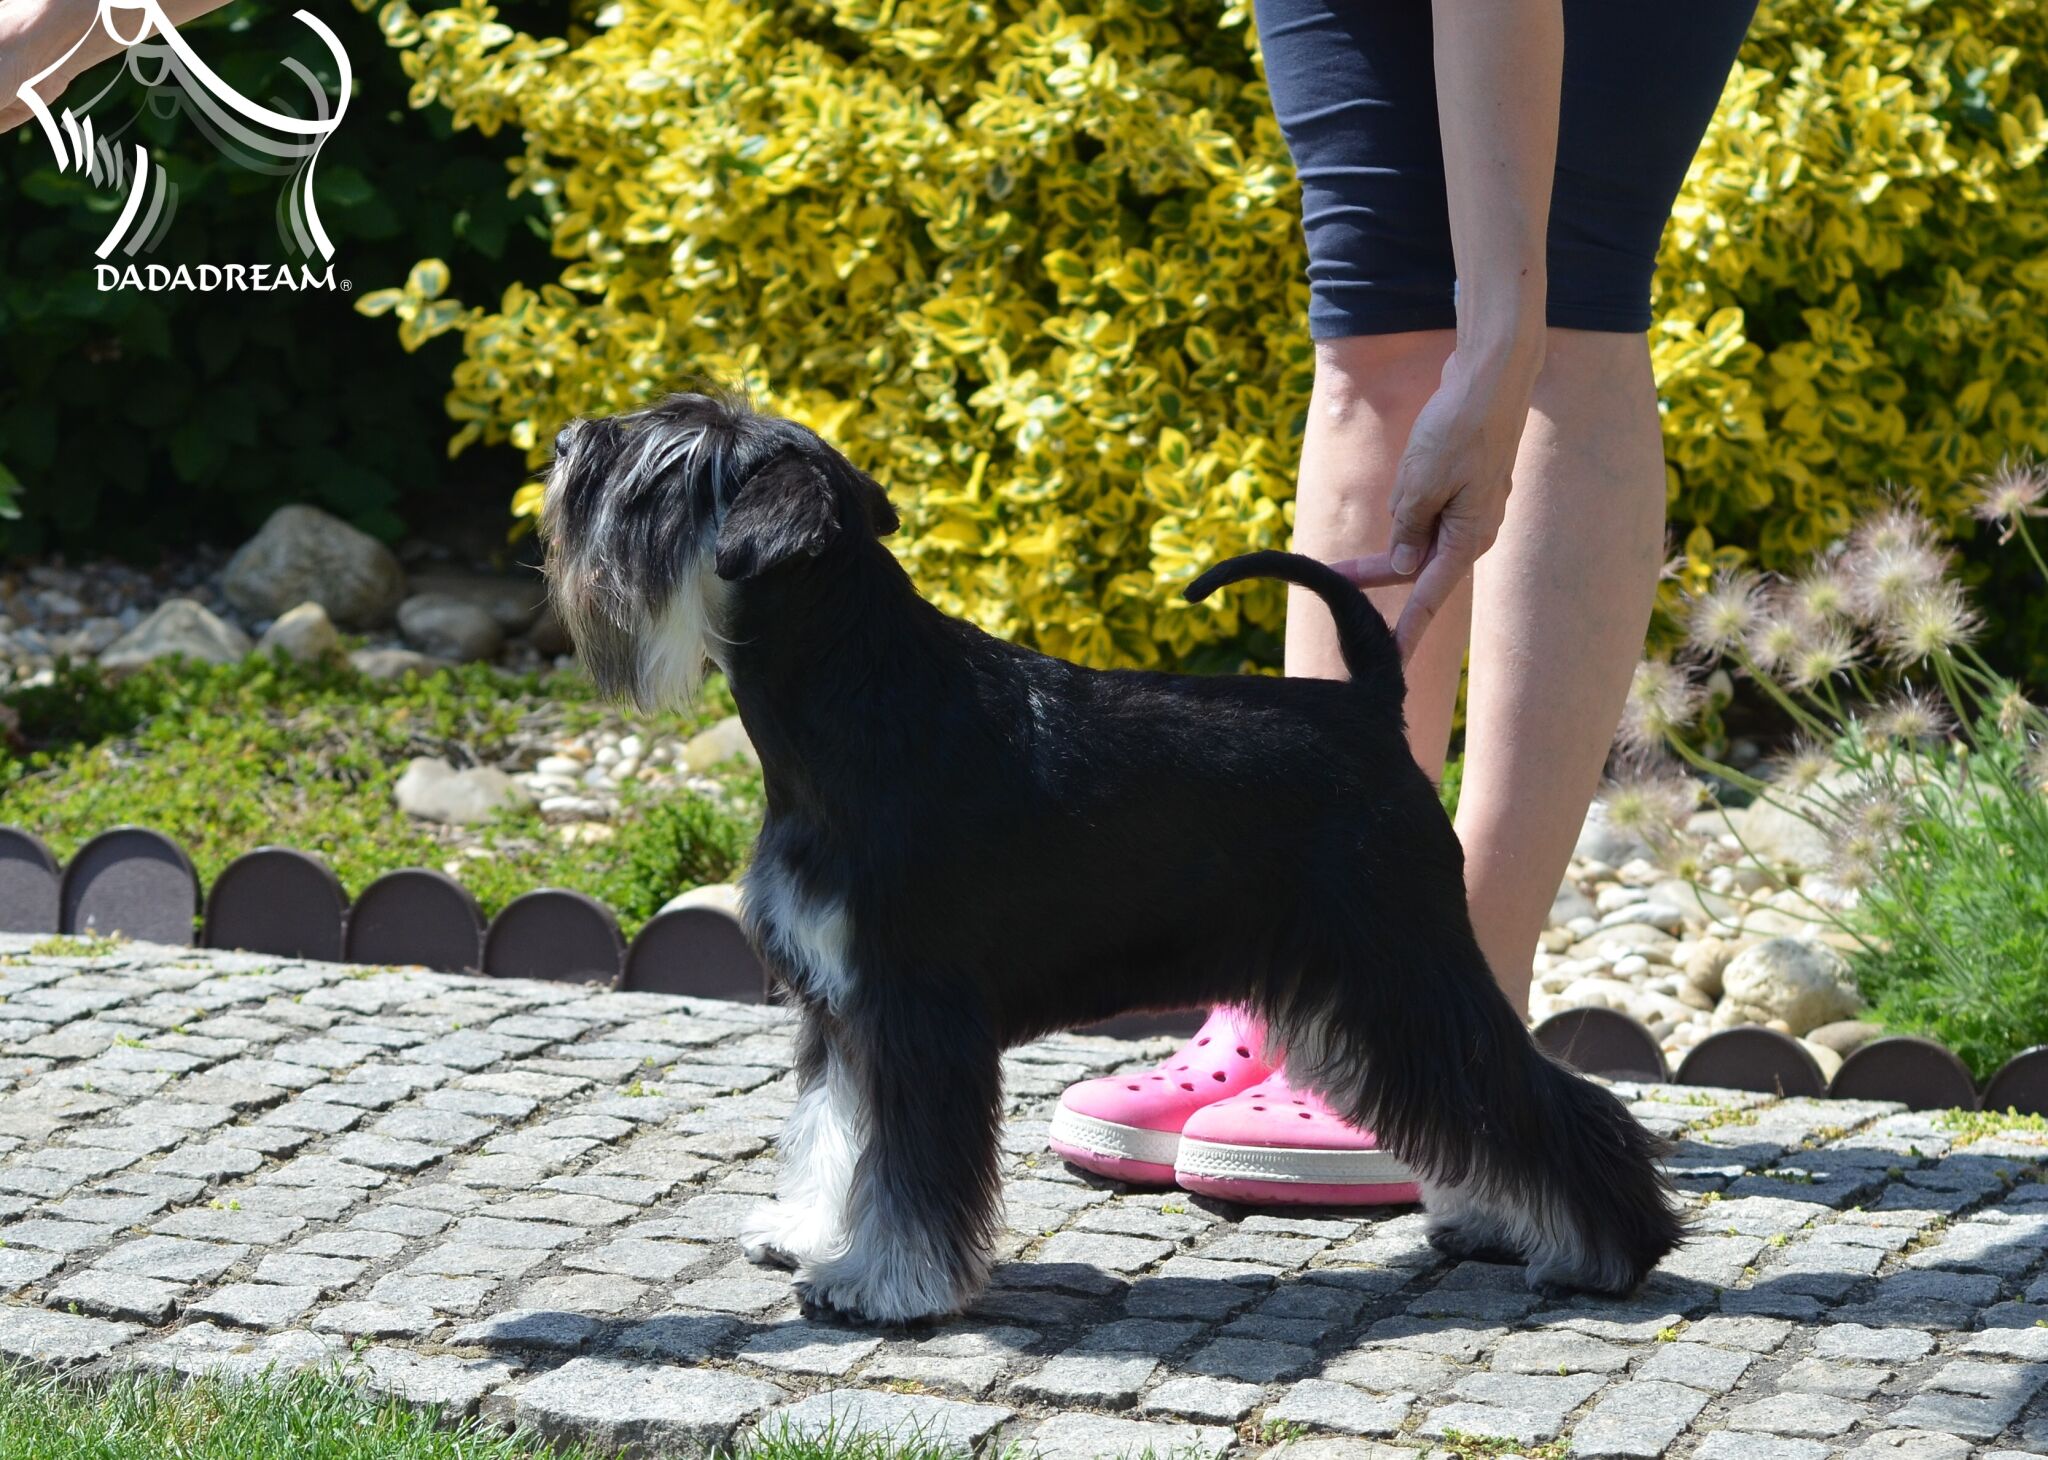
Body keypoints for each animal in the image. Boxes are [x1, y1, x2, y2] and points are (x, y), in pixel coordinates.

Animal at [542, 388, 1682, 1327]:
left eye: (666, 460)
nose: (561, 443)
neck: (849, 697)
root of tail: (1371, 706)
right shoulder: (839, 1006)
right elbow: (834, 1130)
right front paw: (809, 1231)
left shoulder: (917, 1011)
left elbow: (909, 1171)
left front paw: (883, 1283)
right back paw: (1500, 1222)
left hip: (1400, 969)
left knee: (1542, 1098)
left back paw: (1608, 1250)